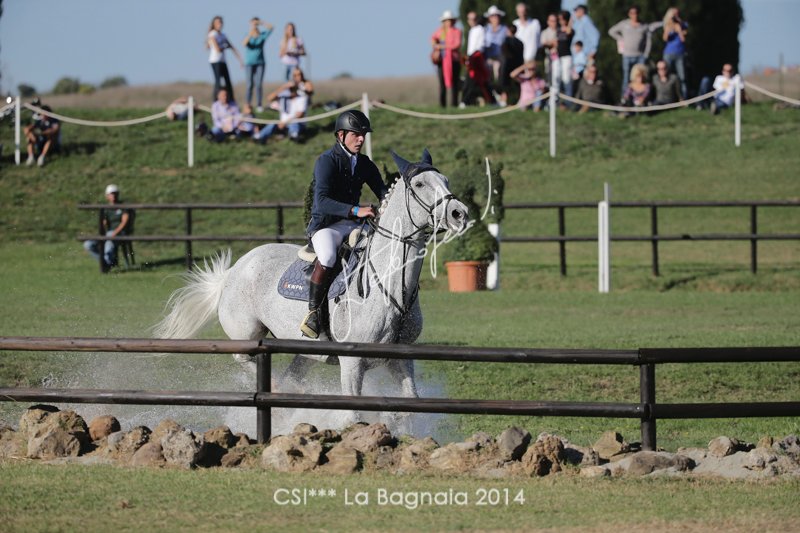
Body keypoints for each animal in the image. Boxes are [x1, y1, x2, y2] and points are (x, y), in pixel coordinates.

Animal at [153, 149, 469, 421]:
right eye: (419, 184)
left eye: (445, 181)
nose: (460, 213)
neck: (392, 289)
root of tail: (234, 270)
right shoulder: (352, 363)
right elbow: (355, 413)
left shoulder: (402, 359)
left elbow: (408, 405)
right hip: (246, 333)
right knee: (245, 359)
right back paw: (279, 391)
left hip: (307, 350)